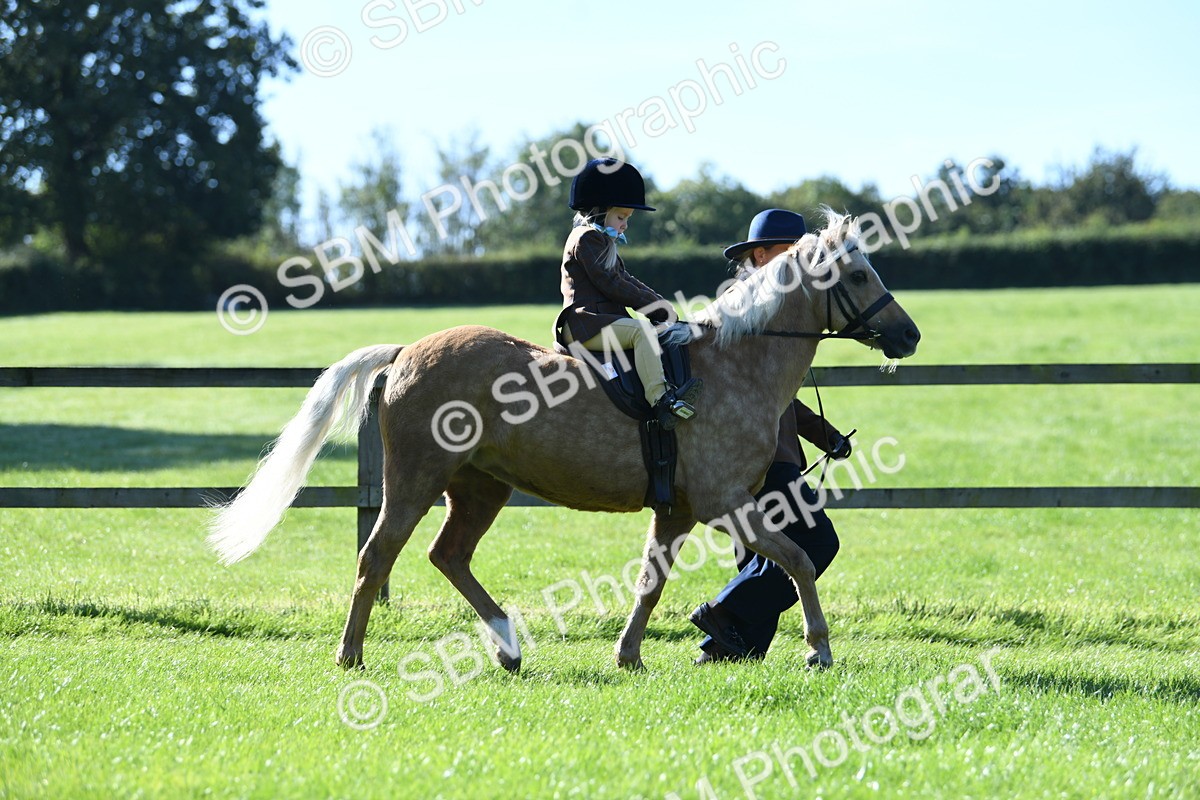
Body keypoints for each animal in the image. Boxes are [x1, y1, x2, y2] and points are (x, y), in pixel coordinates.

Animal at [207, 210, 920, 672]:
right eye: (859, 276)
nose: (909, 336)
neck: (735, 364)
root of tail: (408, 350)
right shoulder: (725, 504)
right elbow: (797, 560)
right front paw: (818, 648)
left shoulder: (680, 511)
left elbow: (651, 582)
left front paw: (629, 657)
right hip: (415, 481)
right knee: (377, 557)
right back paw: (352, 656)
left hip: (479, 488)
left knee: (448, 556)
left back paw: (507, 646)